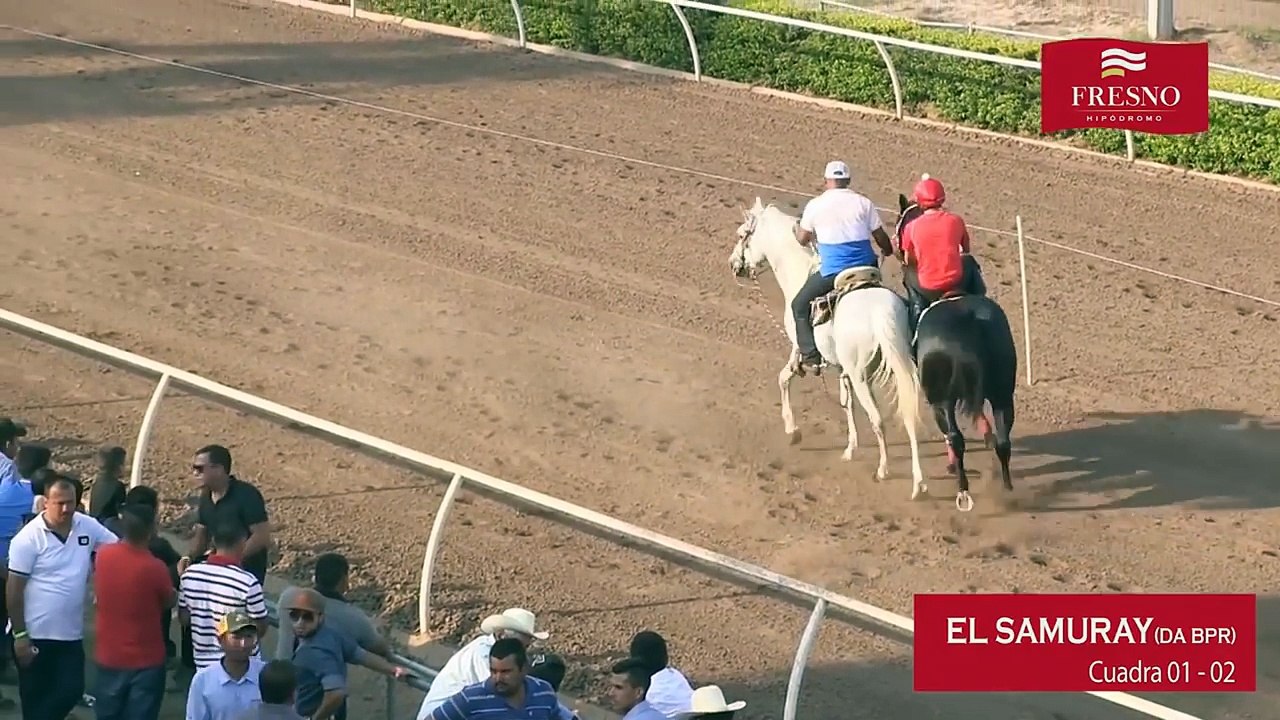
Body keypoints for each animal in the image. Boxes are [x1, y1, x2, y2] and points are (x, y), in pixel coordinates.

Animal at [729, 197, 927, 501]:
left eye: (742, 235)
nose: (733, 264)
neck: (798, 270)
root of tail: (878, 311)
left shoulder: (799, 349)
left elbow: (784, 378)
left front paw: (792, 430)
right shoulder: (842, 369)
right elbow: (848, 405)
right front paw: (850, 448)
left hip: (861, 375)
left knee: (877, 419)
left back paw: (884, 470)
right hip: (898, 365)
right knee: (908, 415)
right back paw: (918, 484)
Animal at [894, 191, 1017, 512]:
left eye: (901, 222)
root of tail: (969, 320)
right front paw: (984, 432)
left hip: (941, 397)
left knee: (954, 437)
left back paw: (962, 489)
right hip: (1003, 390)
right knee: (1003, 439)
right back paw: (1007, 487)